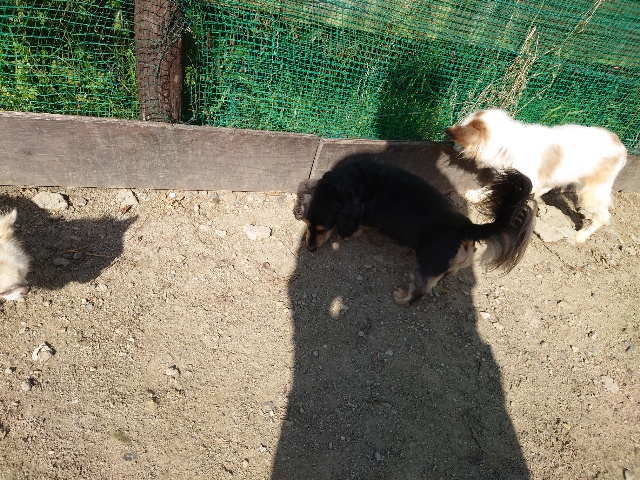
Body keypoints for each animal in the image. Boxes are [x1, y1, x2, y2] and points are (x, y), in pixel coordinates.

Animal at [299, 157, 536, 305]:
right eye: (307, 224)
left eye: (322, 228)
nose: (309, 249)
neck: (355, 183)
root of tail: (464, 227)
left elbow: (356, 228)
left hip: (427, 263)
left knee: (422, 289)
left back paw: (403, 298)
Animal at [445, 108, 627, 243]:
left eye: (459, 142)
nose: (451, 144)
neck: (509, 142)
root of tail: (621, 145)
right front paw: (477, 195)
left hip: (590, 195)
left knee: (603, 217)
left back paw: (580, 236)